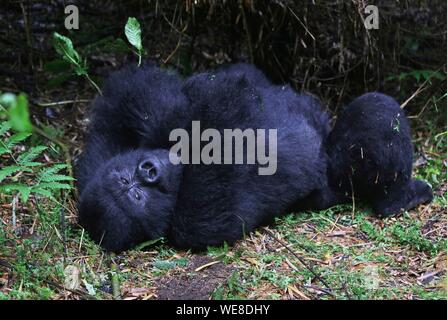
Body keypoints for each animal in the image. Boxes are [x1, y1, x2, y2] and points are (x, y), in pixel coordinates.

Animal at [77, 62, 434, 252]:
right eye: (136, 195)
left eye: (131, 177)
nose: (149, 170)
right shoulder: (196, 223)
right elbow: (223, 130)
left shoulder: (137, 132)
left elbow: (130, 94)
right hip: (340, 180)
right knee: (376, 113)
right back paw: (399, 198)